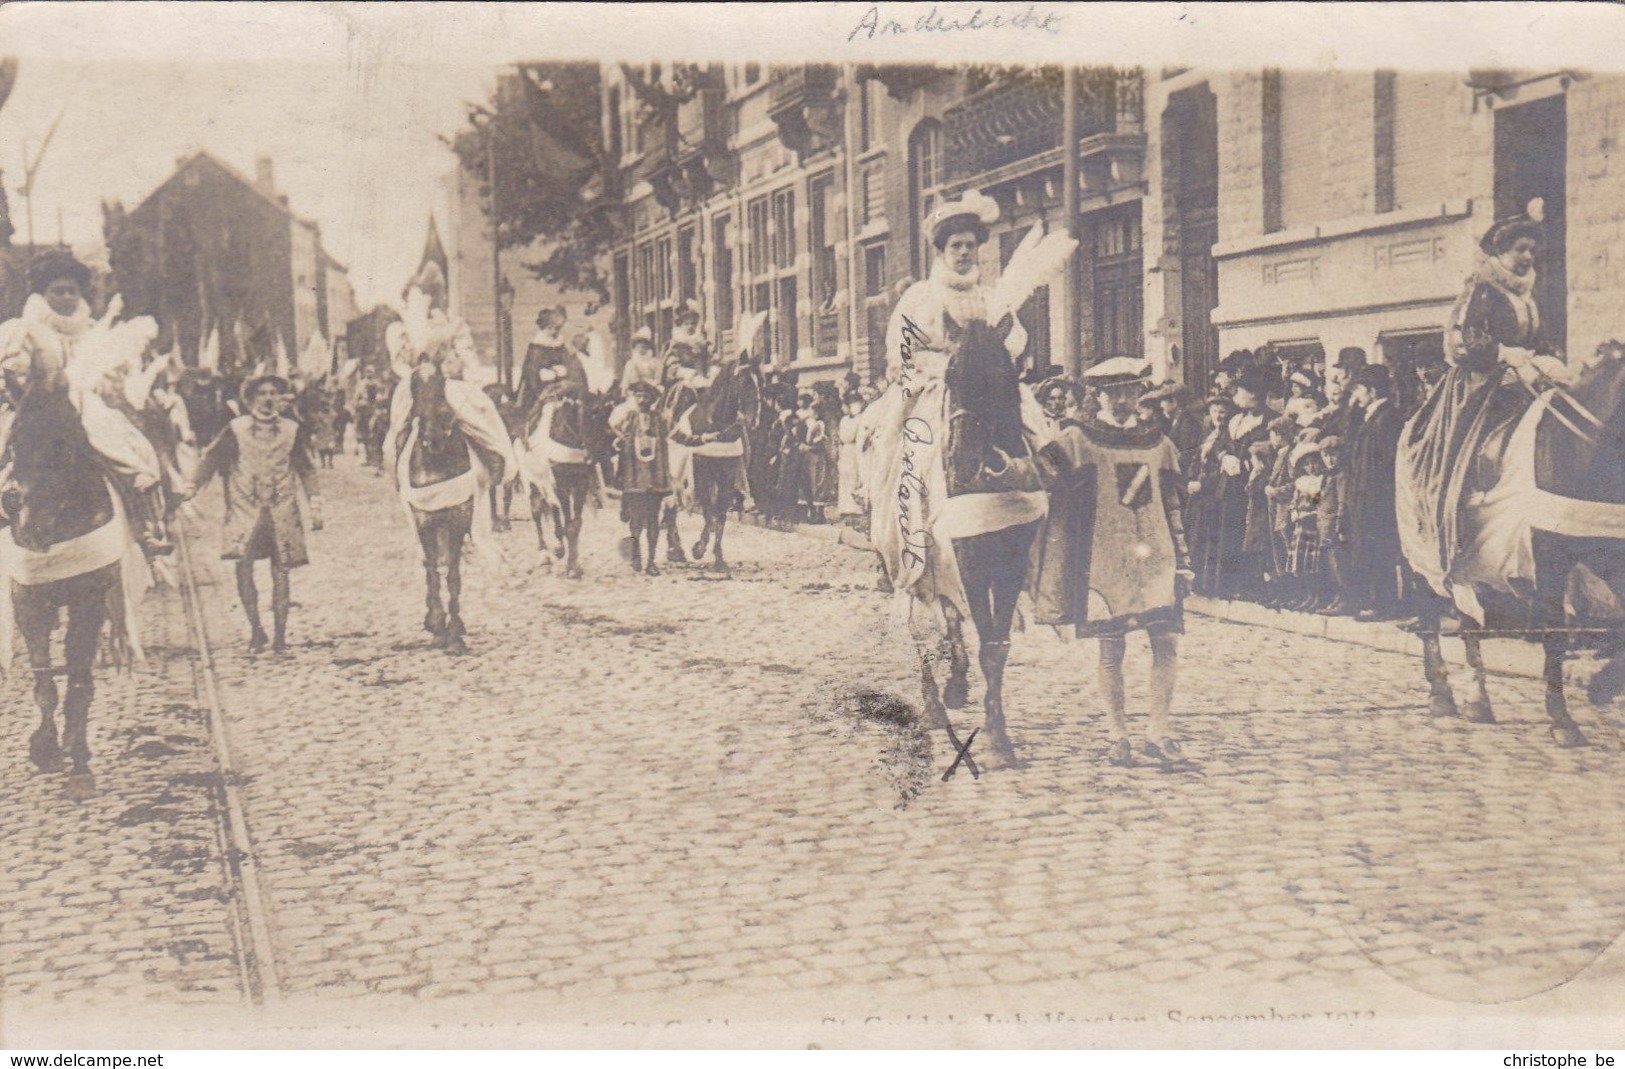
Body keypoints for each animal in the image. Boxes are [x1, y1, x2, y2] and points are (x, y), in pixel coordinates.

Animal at [0, 354, 130, 796]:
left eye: (62, 445)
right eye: (13, 441)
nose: (12, 502)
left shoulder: (89, 599)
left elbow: (78, 676)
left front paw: (79, 760)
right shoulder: (28, 600)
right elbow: (44, 682)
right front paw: (45, 748)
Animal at [399, 357, 474, 653]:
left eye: (442, 382)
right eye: (413, 383)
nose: (434, 437)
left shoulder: (458, 517)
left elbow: (453, 574)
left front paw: (455, 634)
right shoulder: (425, 521)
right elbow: (432, 571)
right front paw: (440, 629)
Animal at [672, 357, 760, 575]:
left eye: (759, 382)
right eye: (744, 382)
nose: (753, 420)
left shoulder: (727, 478)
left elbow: (719, 515)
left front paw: (719, 557)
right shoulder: (702, 476)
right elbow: (709, 512)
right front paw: (699, 548)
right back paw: (676, 550)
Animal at [916, 311, 1040, 770]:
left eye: (1002, 375)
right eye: (950, 375)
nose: (962, 460)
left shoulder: (1012, 560)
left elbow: (996, 646)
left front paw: (997, 733)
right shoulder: (967, 556)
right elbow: (982, 635)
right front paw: (994, 738)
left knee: (949, 615)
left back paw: (955, 683)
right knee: (922, 624)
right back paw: (933, 703)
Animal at [1391, 339, 1625, 740]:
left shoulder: (1609, 552)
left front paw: (1601, 686)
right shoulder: (1544, 559)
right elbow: (1553, 633)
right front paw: (1562, 719)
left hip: (1467, 559)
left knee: (1467, 619)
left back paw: (1477, 702)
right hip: (1425, 551)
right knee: (1430, 612)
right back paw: (1443, 696)